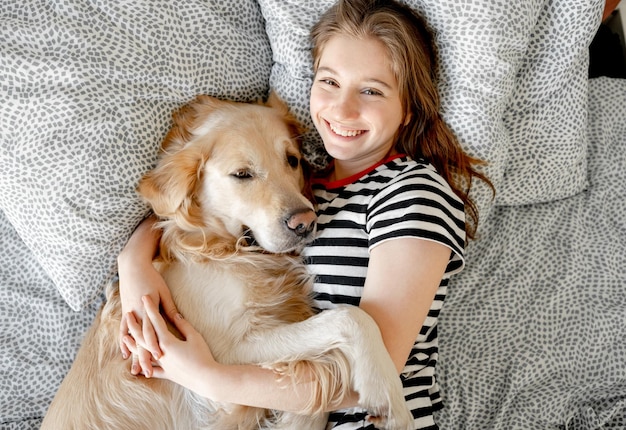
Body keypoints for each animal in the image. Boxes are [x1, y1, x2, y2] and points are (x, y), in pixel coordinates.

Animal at [41, 95, 412, 430]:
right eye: (242, 174)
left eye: (292, 160)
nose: (305, 223)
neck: (225, 248)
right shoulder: (224, 356)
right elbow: (348, 319)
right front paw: (386, 395)